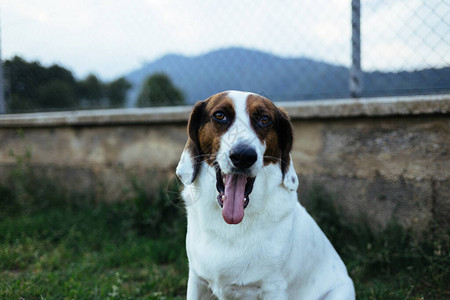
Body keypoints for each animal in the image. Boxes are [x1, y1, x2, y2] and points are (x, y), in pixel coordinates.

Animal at [176, 90, 356, 298]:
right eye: (220, 115)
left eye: (264, 119)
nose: (243, 156)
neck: (232, 227)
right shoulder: (197, 281)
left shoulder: (273, 287)